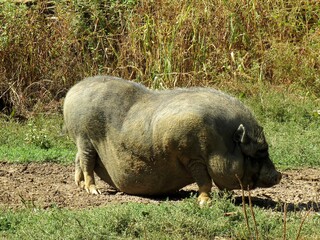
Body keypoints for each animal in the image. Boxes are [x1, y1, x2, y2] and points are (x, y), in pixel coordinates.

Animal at [63, 76, 282, 205]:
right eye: (257, 153)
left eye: (265, 150)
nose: (279, 175)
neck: (221, 144)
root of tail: (73, 91)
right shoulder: (192, 156)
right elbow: (205, 181)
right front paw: (205, 203)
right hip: (84, 137)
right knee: (87, 164)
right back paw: (94, 192)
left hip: (82, 142)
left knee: (78, 160)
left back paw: (80, 186)